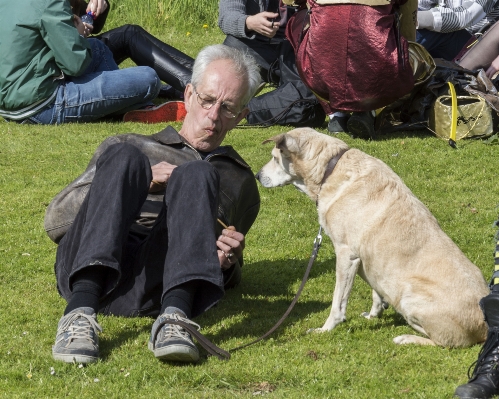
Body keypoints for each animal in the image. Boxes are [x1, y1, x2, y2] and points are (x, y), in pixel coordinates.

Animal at [258, 128, 488, 346]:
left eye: (275, 158)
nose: (258, 176)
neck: (329, 170)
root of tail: (486, 327)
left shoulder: (346, 254)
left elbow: (337, 302)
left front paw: (326, 329)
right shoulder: (369, 260)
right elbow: (375, 292)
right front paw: (373, 315)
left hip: (407, 296)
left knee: (444, 342)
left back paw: (407, 338)